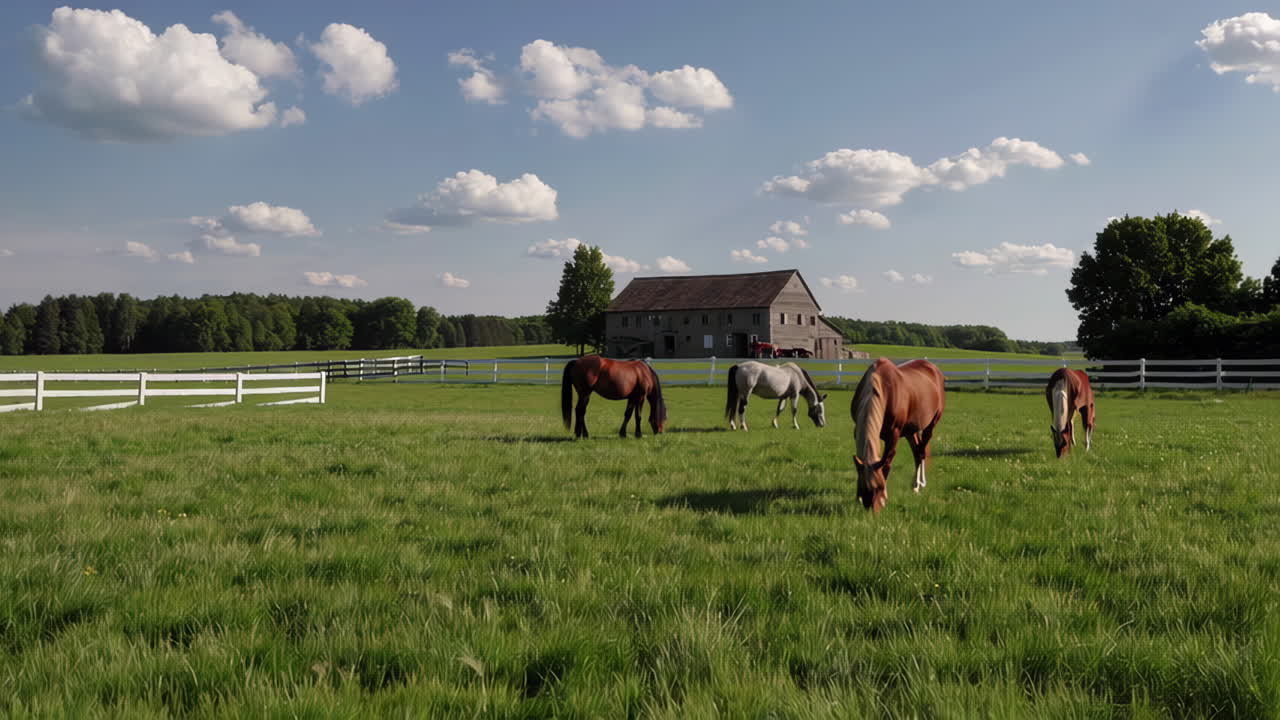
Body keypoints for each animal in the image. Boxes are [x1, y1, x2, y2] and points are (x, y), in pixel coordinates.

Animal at [850, 358, 945, 512]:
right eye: (864, 488)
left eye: (880, 487)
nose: (873, 510)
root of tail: (934, 369)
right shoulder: (857, 429)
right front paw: (857, 498)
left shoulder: (893, 435)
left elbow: (887, 464)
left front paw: (885, 498)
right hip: (910, 431)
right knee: (917, 453)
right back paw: (916, 484)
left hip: (930, 425)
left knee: (921, 452)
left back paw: (918, 485)